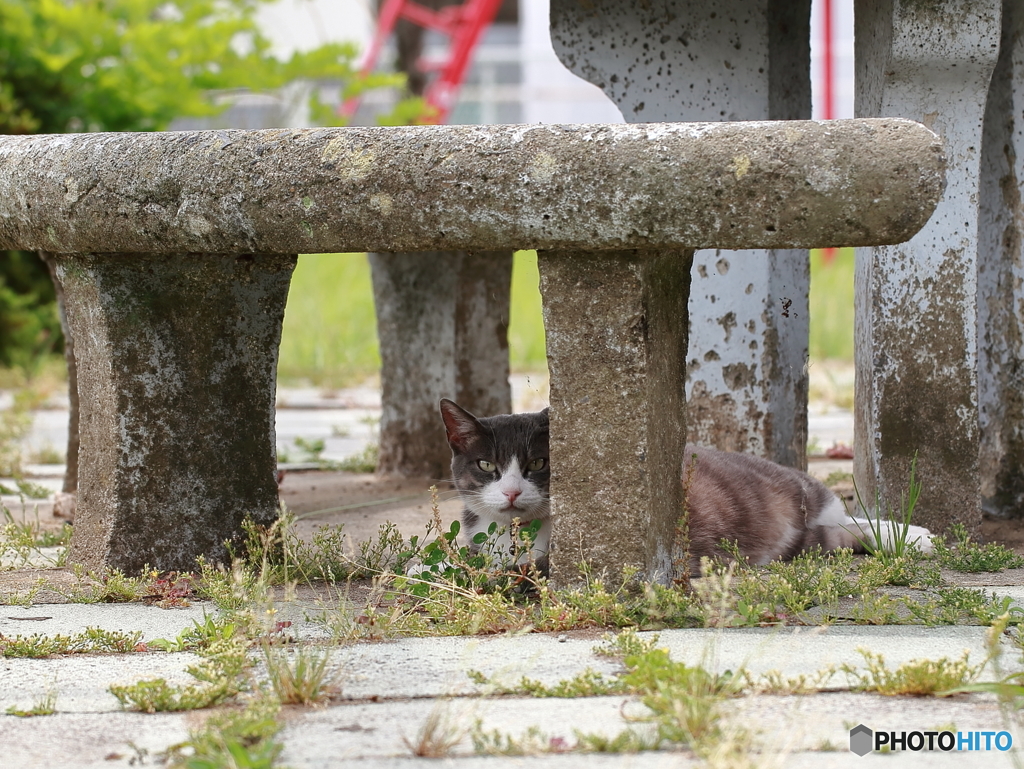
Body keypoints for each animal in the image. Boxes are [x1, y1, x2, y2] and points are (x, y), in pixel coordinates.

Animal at [436, 399, 933, 573]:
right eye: (486, 464)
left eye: (539, 463)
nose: (512, 492)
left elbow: (525, 572)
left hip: (804, 495)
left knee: (844, 520)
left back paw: (915, 535)